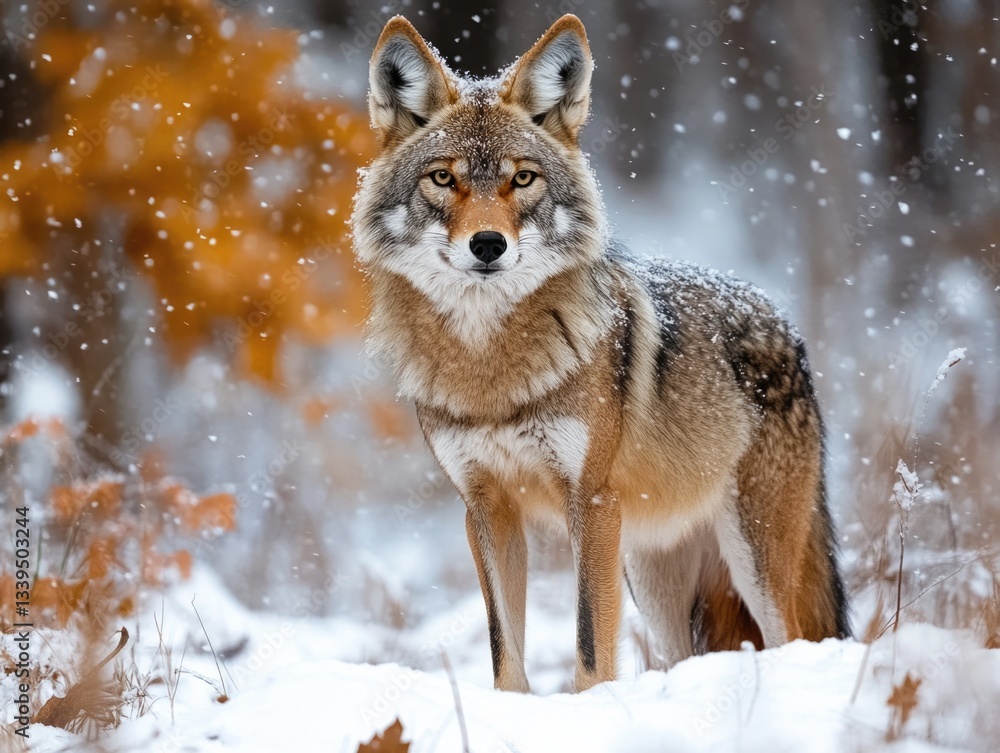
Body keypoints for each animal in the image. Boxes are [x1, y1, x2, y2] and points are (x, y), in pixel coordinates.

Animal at [352, 14, 849, 693]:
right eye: (443, 178)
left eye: (523, 178)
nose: (488, 244)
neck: (491, 370)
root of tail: (787, 329)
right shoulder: (485, 509)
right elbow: (505, 651)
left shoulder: (589, 502)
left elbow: (590, 645)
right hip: (654, 578)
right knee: (682, 658)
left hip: (752, 558)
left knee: (791, 640)